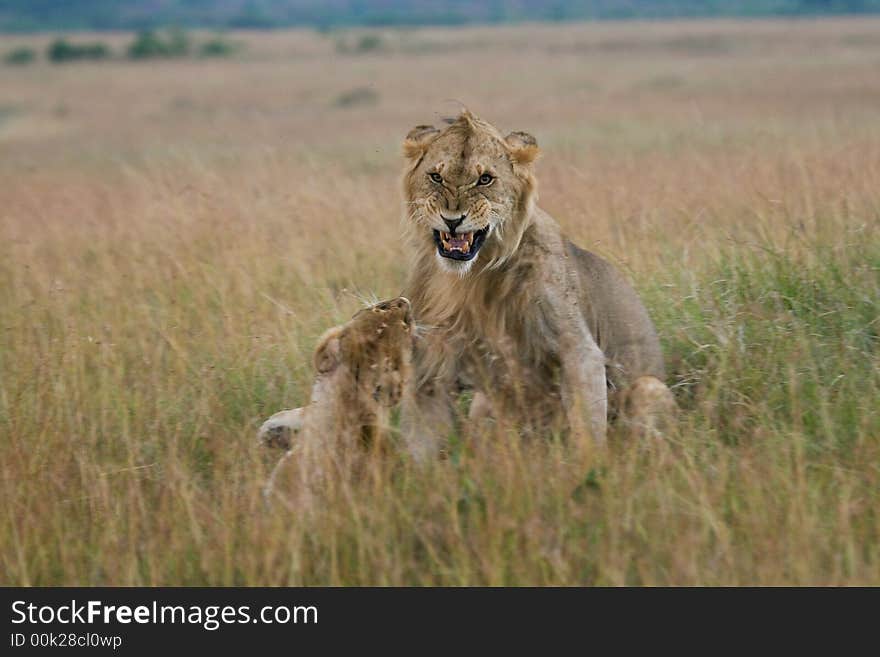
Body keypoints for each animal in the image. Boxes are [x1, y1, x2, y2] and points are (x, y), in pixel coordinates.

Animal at [398, 110, 672, 456]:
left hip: (650, 387)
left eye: (485, 179)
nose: (453, 219)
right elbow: (420, 446)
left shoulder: (578, 349)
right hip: (481, 405)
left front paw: (589, 468)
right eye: (436, 176)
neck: (471, 278)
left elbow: (587, 429)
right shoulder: (431, 361)